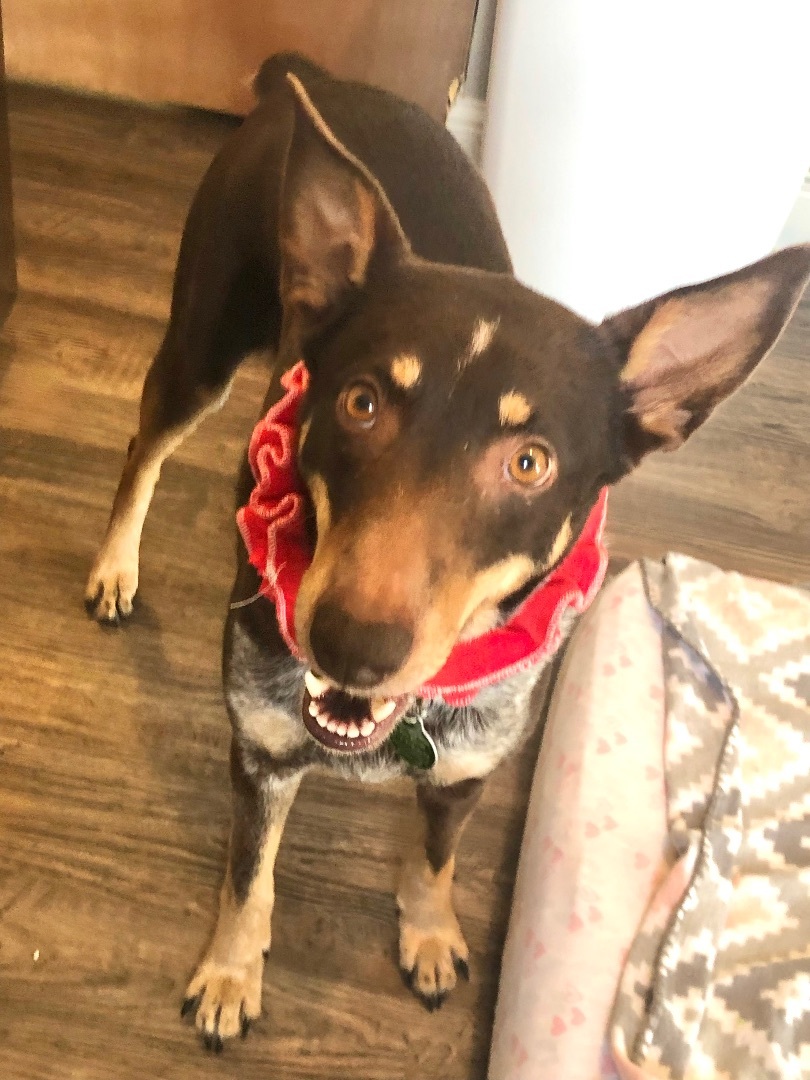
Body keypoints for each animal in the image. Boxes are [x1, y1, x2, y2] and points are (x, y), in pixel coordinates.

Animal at [85, 54, 807, 1049]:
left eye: (531, 461)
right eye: (360, 403)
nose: (351, 645)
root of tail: (316, 82)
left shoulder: (468, 772)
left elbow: (434, 858)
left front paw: (428, 934)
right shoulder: (260, 752)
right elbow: (246, 875)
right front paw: (232, 972)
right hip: (205, 340)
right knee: (144, 446)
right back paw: (114, 566)